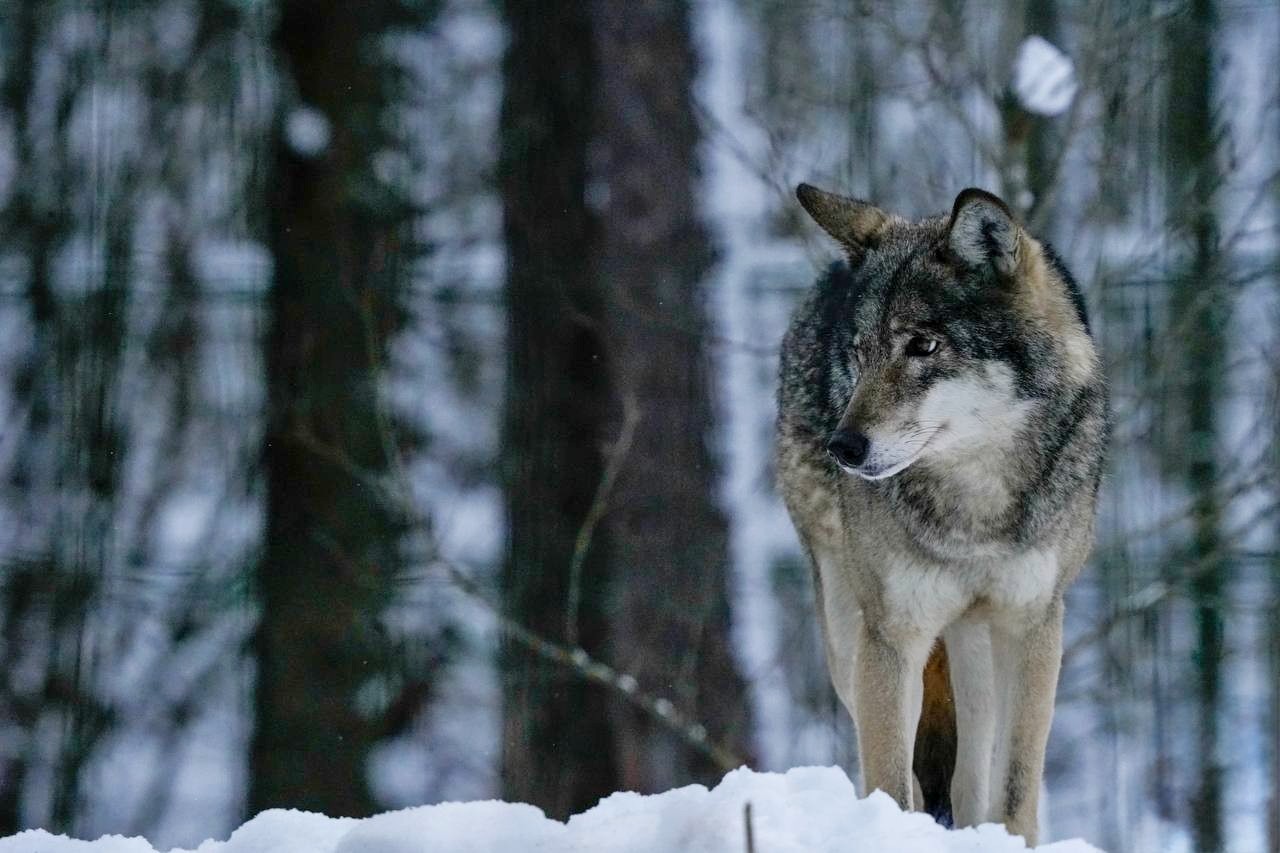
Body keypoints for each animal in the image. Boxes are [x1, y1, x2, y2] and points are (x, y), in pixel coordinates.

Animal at [776, 184, 1107, 844]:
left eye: (922, 346)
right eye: (859, 354)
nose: (843, 447)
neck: (974, 508)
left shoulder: (1033, 625)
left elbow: (1015, 788)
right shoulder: (892, 635)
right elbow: (890, 777)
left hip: (973, 646)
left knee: (969, 777)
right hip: (847, 633)